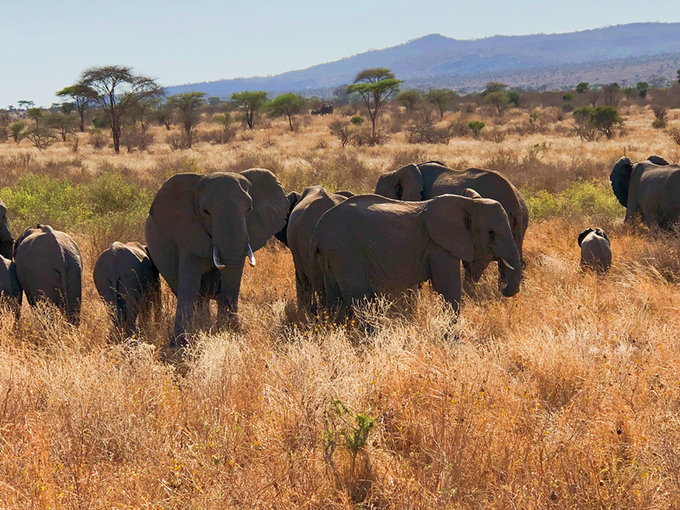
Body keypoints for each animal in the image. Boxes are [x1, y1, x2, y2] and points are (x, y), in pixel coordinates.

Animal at [145, 167, 288, 342]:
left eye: (249, 209)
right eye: (205, 212)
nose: (230, 328)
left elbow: (233, 280)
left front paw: (228, 332)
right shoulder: (189, 232)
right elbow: (189, 284)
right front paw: (181, 342)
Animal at [310, 192, 524, 318]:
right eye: (492, 233)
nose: (503, 289)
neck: (468, 203)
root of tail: (318, 232)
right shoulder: (439, 247)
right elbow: (448, 287)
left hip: (332, 256)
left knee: (336, 299)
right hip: (347, 254)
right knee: (359, 298)